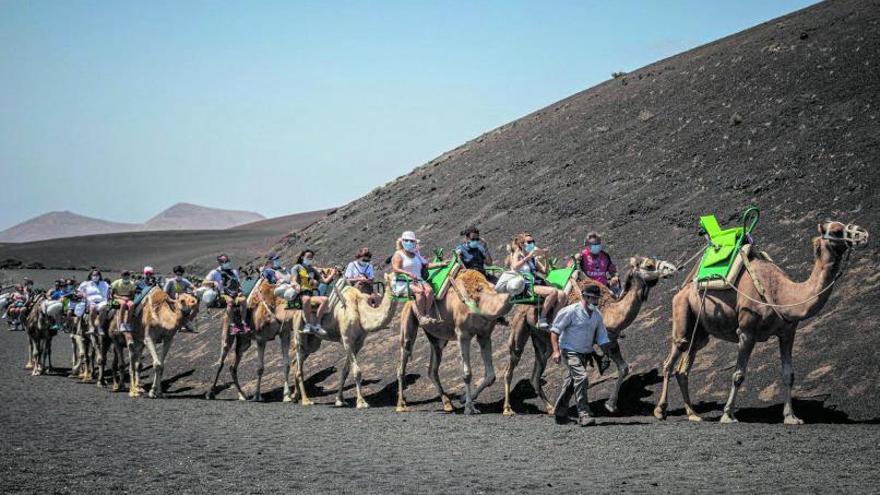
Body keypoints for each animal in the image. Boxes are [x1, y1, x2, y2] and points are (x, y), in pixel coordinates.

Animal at [296, 274, 398, 408]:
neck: (359, 308)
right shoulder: (347, 340)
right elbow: (357, 371)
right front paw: (361, 402)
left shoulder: (358, 343)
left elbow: (345, 371)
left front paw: (340, 400)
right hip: (299, 334)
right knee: (298, 366)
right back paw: (305, 400)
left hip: (313, 342)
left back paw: (294, 396)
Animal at [398, 270, 520, 416]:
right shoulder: (463, 334)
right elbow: (467, 374)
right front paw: (469, 408)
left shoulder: (484, 335)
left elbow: (491, 375)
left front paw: (463, 399)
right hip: (408, 320)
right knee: (403, 359)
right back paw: (401, 406)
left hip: (438, 339)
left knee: (432, 369)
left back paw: (447, 404)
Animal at [498, 258, 676, 416]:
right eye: (649, 265)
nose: (672, 268)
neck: (609, 311)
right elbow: (578, 375)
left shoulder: (609, 341)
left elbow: (623, 368)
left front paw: (611, 405)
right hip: (520, 328)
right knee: (510, 367)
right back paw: (508, 409)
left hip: (542, 341)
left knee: (535, 375)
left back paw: (550, 408)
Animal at [652, 222, 868, 426]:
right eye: (837, 230)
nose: (863, 234)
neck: (781, 294)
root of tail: (684, 288)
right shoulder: (746, 332)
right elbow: (738, 375)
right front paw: (728, 415)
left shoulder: (787, 333)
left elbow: (788, 374)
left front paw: (791, 417)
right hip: (682, 312)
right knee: (671, 360)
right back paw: (660, 411)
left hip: (701, 333)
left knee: (683, 369)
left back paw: (693, 414)